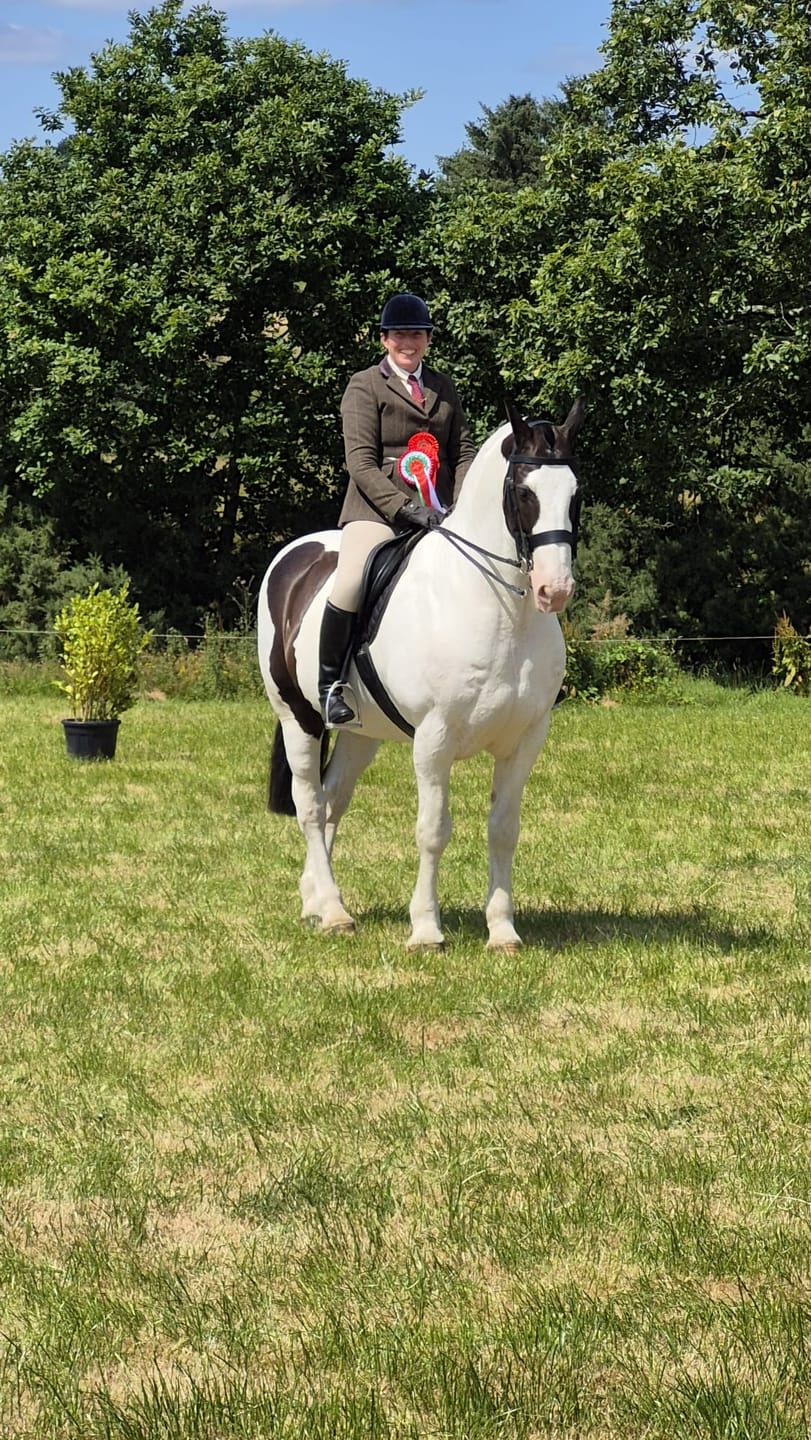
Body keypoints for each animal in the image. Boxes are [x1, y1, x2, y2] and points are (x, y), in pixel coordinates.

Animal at [257, 396, 585, 951]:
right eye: (524, 493)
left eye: (575, 494)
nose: (554, 589)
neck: (500, 607)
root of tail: (293, 555)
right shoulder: (435, 737)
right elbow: (432, 830)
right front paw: (426, 929)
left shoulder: (525, 739)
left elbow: (503, 829)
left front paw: (502, 931)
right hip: (297, 715)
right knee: (309, 802)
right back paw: (334, 910)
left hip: (361, 732)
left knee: (332, 800)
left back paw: (317, 902)